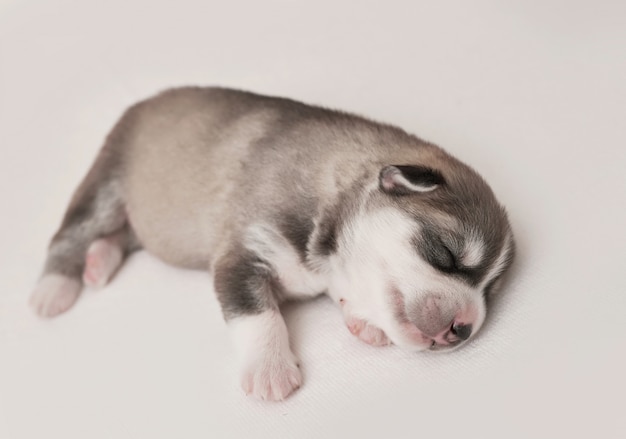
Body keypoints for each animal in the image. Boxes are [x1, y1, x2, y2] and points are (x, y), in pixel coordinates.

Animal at [29, 87, 516, 402]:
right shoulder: (243, 251)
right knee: (70, 233)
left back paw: (98, 263)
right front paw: (269, 371)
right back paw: (54, 289)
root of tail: (142, 102)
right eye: (447, 254)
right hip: (106, 182)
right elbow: (258, 315)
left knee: (122, 236)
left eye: (489, 292)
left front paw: (364, 322)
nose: (465, 328)